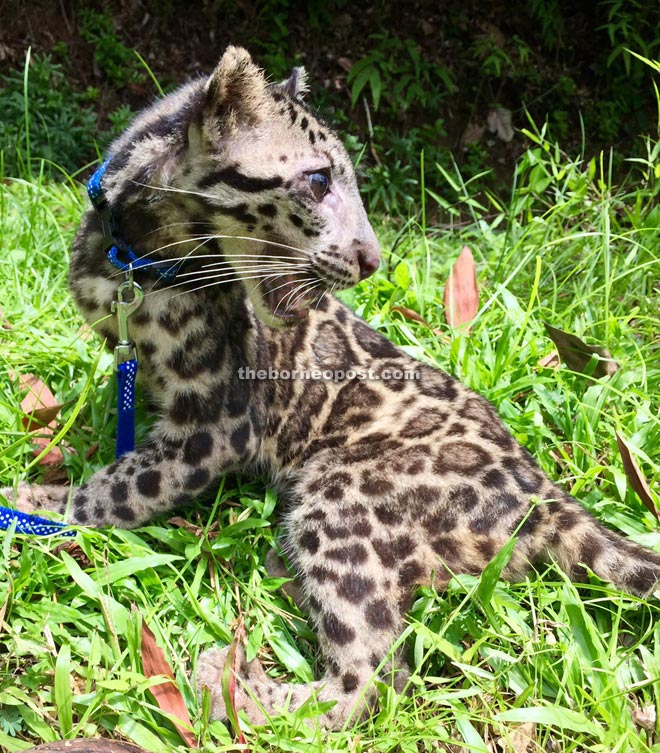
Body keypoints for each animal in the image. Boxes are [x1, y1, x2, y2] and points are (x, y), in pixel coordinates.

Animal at [5, 47, 660, 728]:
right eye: (319, 182)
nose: (373, 260)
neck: (135, 258)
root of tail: (544, 495)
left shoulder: (216, 426)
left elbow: (122, 486)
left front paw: (36, 503)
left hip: (341, 497)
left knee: (372, 676)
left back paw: (234, 687)